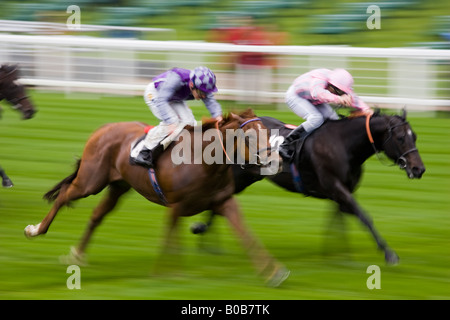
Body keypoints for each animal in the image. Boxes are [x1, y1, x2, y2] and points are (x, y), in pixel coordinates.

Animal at [23, 110, 288, 288]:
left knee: (96, 215)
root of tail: (103, 128)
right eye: (249, 137)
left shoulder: (224, 202)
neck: (204, 163)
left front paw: (274, 272)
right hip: (90, 181)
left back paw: (77, 254)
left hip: (118, 186)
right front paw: (166, 273)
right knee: (64, 195)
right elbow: (170, 238)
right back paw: (36, 230)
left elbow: (246, 235)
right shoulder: (176, 205)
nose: (276, 161)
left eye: (267, 132)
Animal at [193, 110, 426, 264]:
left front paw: (337, 252)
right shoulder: (336, 186)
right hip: (239, 175)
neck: (345, 144)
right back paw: (202, 233)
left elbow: (338, 219)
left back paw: (207, 240)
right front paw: (389, 253)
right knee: (219, 198)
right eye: (400, 138)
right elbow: (363, 216)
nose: (419, 169)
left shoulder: (341, 191)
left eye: (414, 136)